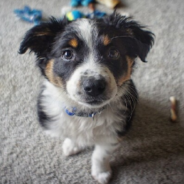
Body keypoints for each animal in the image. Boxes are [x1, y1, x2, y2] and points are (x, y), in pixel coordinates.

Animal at [19, 13, 154, 184]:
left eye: (113, 52)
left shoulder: (116, 130)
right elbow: (71, 134)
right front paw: (72, 145)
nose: (94, 86)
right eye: (67, 54)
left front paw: (101, 173)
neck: (87, 114)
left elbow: (101, 154)